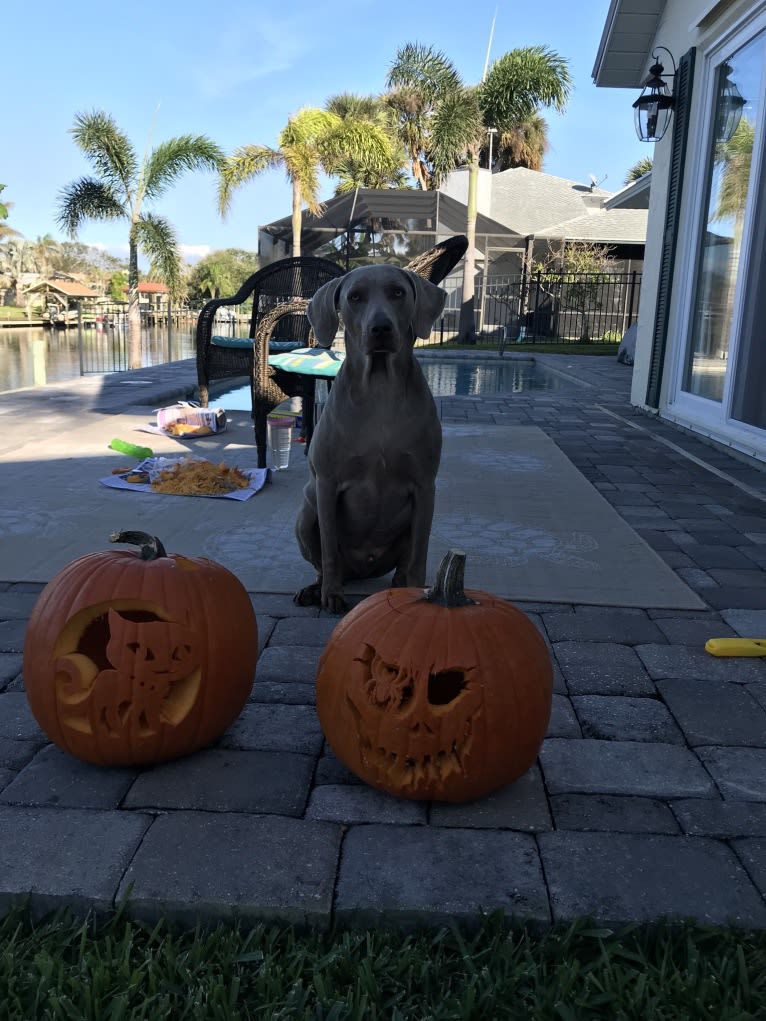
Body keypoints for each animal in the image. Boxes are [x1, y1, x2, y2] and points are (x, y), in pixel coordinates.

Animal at [296, 265, 449, 612]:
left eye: (398, 292)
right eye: (355, 297)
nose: (381, 328)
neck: (380, 388)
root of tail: (362, 571)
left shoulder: (425, 486)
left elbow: (419, 555)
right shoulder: (326, 484)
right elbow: (329, 550)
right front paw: (331, 595)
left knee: (403, 566)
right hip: (306, 513)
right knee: (324, 562)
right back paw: (315, 589)